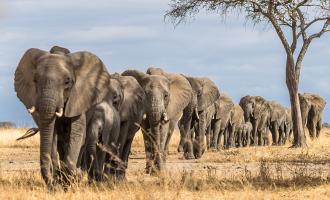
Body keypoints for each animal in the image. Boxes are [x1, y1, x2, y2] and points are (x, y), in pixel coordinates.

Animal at [14, 47, 111, 188]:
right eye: (35, 80)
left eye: (67, 82)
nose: (52, 185)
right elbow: (51, 135)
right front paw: (59, 182)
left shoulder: (79, 99)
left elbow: (77, 133)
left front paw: (71, 178)